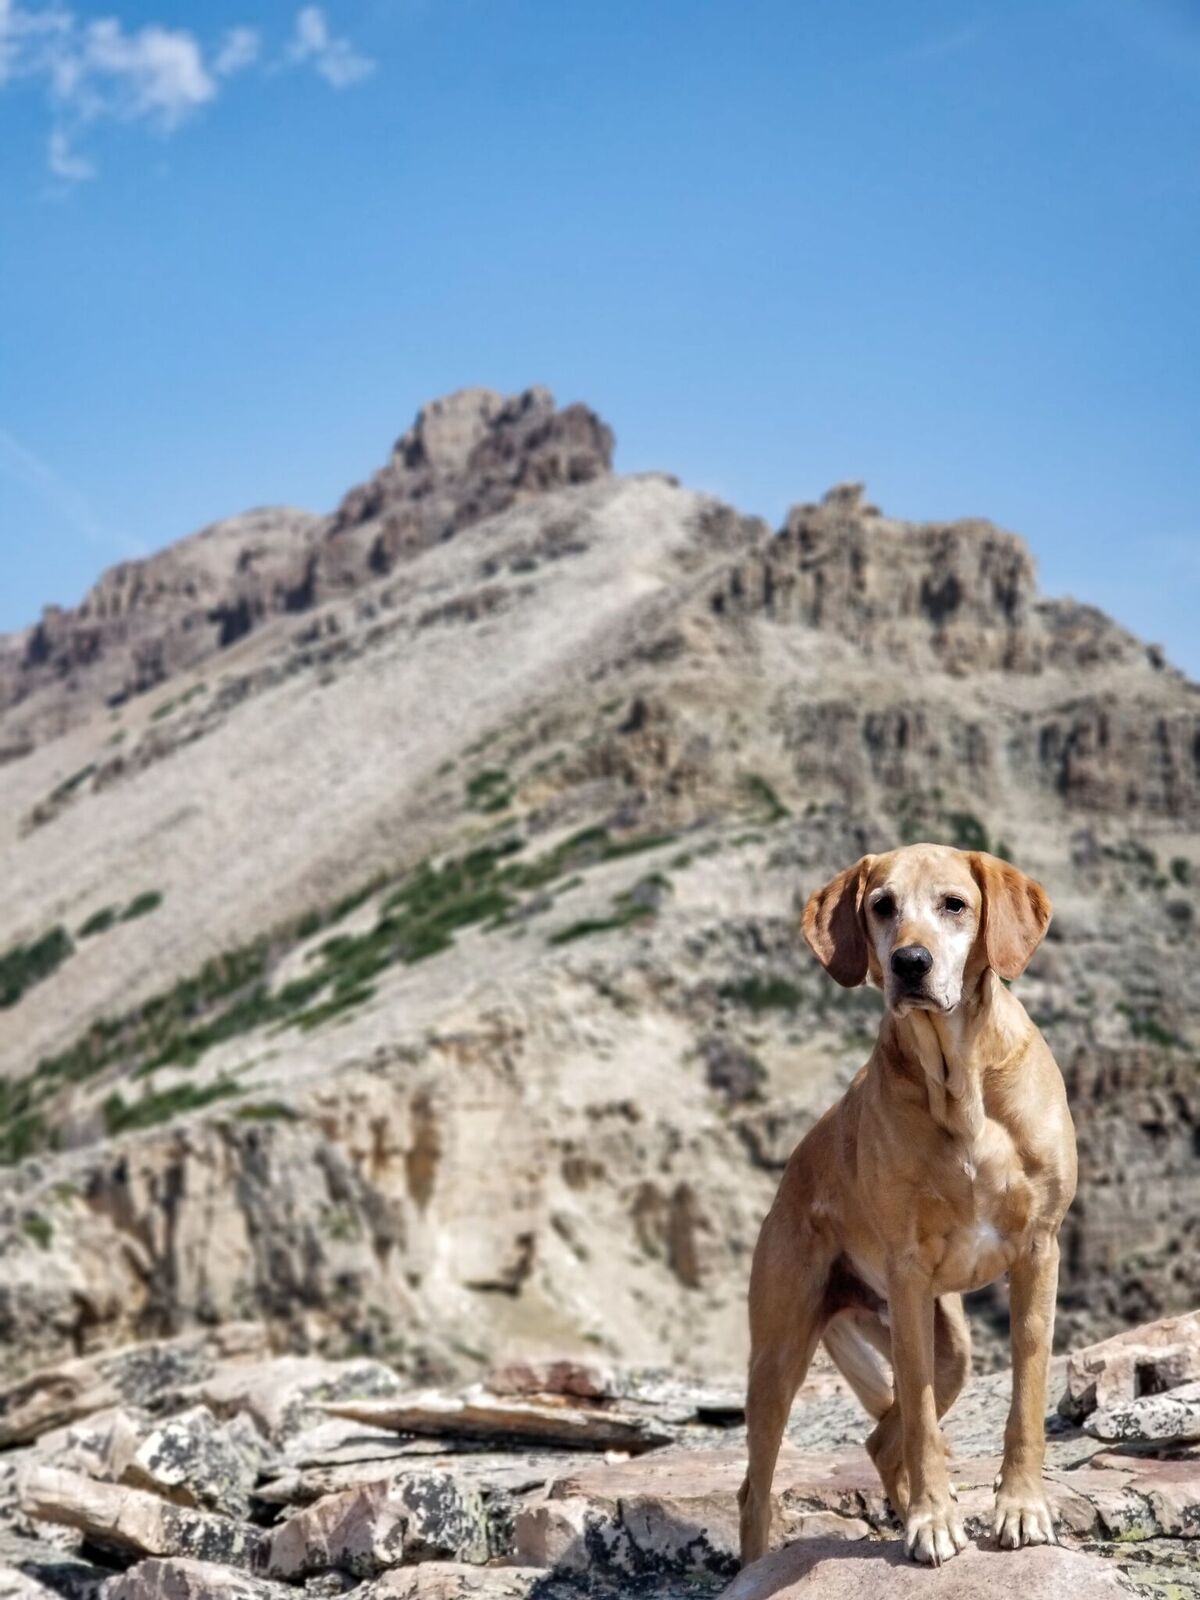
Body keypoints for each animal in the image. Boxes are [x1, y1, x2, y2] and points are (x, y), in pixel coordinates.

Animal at [739, 844, 1088, 1568]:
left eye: (955, 904)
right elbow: (924, 1422)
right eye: (882, 906)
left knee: (881, 1439)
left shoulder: (1039, 1250)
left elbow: (1026, 1398)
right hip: (780, 1354)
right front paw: (933, 1520)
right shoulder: (905, 1274)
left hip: (952, 1346)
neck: (960, 1082)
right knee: (756, 1489)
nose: (911, 963)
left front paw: (1020, 1508)